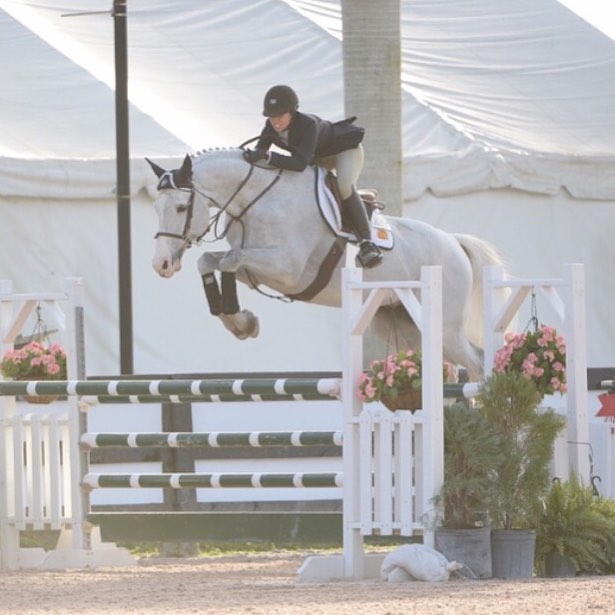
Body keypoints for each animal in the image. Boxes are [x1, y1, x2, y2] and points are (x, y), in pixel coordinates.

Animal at [147, 150, 508, 380]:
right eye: (155, 208)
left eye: (181, 207)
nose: (161, 264)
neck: (256, 201)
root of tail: (454, 243)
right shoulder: (256, 269)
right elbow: (211, 261)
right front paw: (241, 322)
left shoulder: (288, 270)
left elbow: (230, 260)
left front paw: (241, 322)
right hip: (402, 323)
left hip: (446, 326)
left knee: (477, 365)